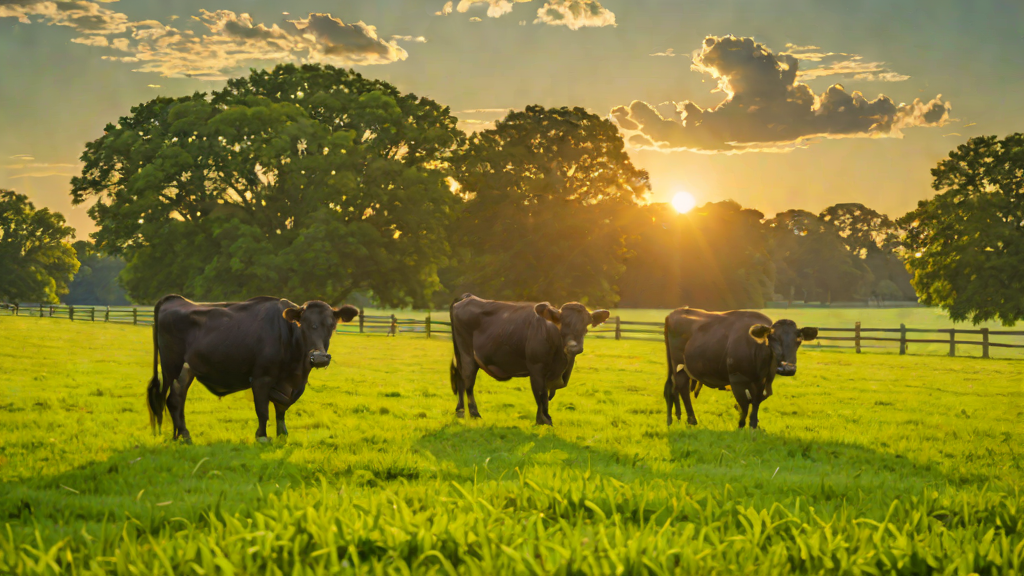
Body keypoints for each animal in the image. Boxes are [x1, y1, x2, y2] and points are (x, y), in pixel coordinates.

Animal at [147, 294, 359, 443]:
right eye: (303, 324)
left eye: (332, 325)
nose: (320, 357)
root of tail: (175, 300)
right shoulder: (261, 379)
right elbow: (263, 410)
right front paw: (262, 436)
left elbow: (281, 409)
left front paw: (282, 434)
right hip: (171, 368)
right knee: (167, 399)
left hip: (186, 370)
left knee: (175, 400)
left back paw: (183, 436)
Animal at [449, 294, 610, 425]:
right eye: (562, 323)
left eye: (586, 325)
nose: (573, 347)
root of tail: (468, 297)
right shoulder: (536, 368)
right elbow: (541, 394)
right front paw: (544, 421)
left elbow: (544, 395)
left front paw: (541, 419)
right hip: (467, 354)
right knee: (468, 382)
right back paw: (474, 414)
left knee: (460, 380)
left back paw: (460, 411)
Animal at [663, 308, 817, 429]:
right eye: (772, 338)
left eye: (799, 339)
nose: (787, 369)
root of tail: (676, 311)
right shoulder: (736, 378)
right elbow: (744, 403)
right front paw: (741, 425)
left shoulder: (762, 381)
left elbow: (756, 400)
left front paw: (754, 424)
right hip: (679, 365)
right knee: (682, 389)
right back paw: (692, 420)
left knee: (672, 389)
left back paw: (674, 418)